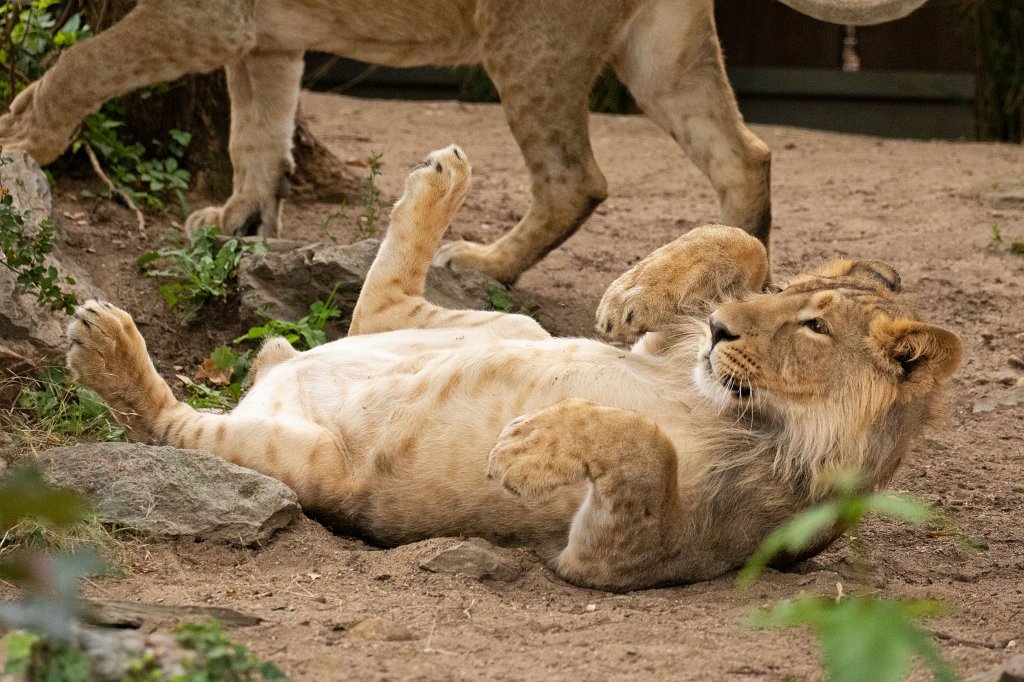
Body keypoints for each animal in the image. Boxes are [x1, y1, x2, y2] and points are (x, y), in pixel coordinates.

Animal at [3, 0, 925, 283]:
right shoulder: (262, 36)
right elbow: (256, 136)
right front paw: (239, 223)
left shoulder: (200, 16)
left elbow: (80, 64)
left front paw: (21, 134)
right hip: (663, 51)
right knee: (746, 157)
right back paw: (732, 291)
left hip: (528, 43)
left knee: (575, 180)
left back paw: (484, 264)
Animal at [66, 146, 961, 591]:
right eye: (791, 300)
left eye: (813, 327)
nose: (716, 328)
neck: (730, 403)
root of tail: (275, 375)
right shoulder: (663, 354)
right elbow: (742, 240)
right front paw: (633, 293)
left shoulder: (628, 557)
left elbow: (649, 450)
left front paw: (528, 447)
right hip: (512, 322)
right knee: (373, 311)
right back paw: (441, 178)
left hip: (315, 463)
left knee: (173, 423)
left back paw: (105, 345)